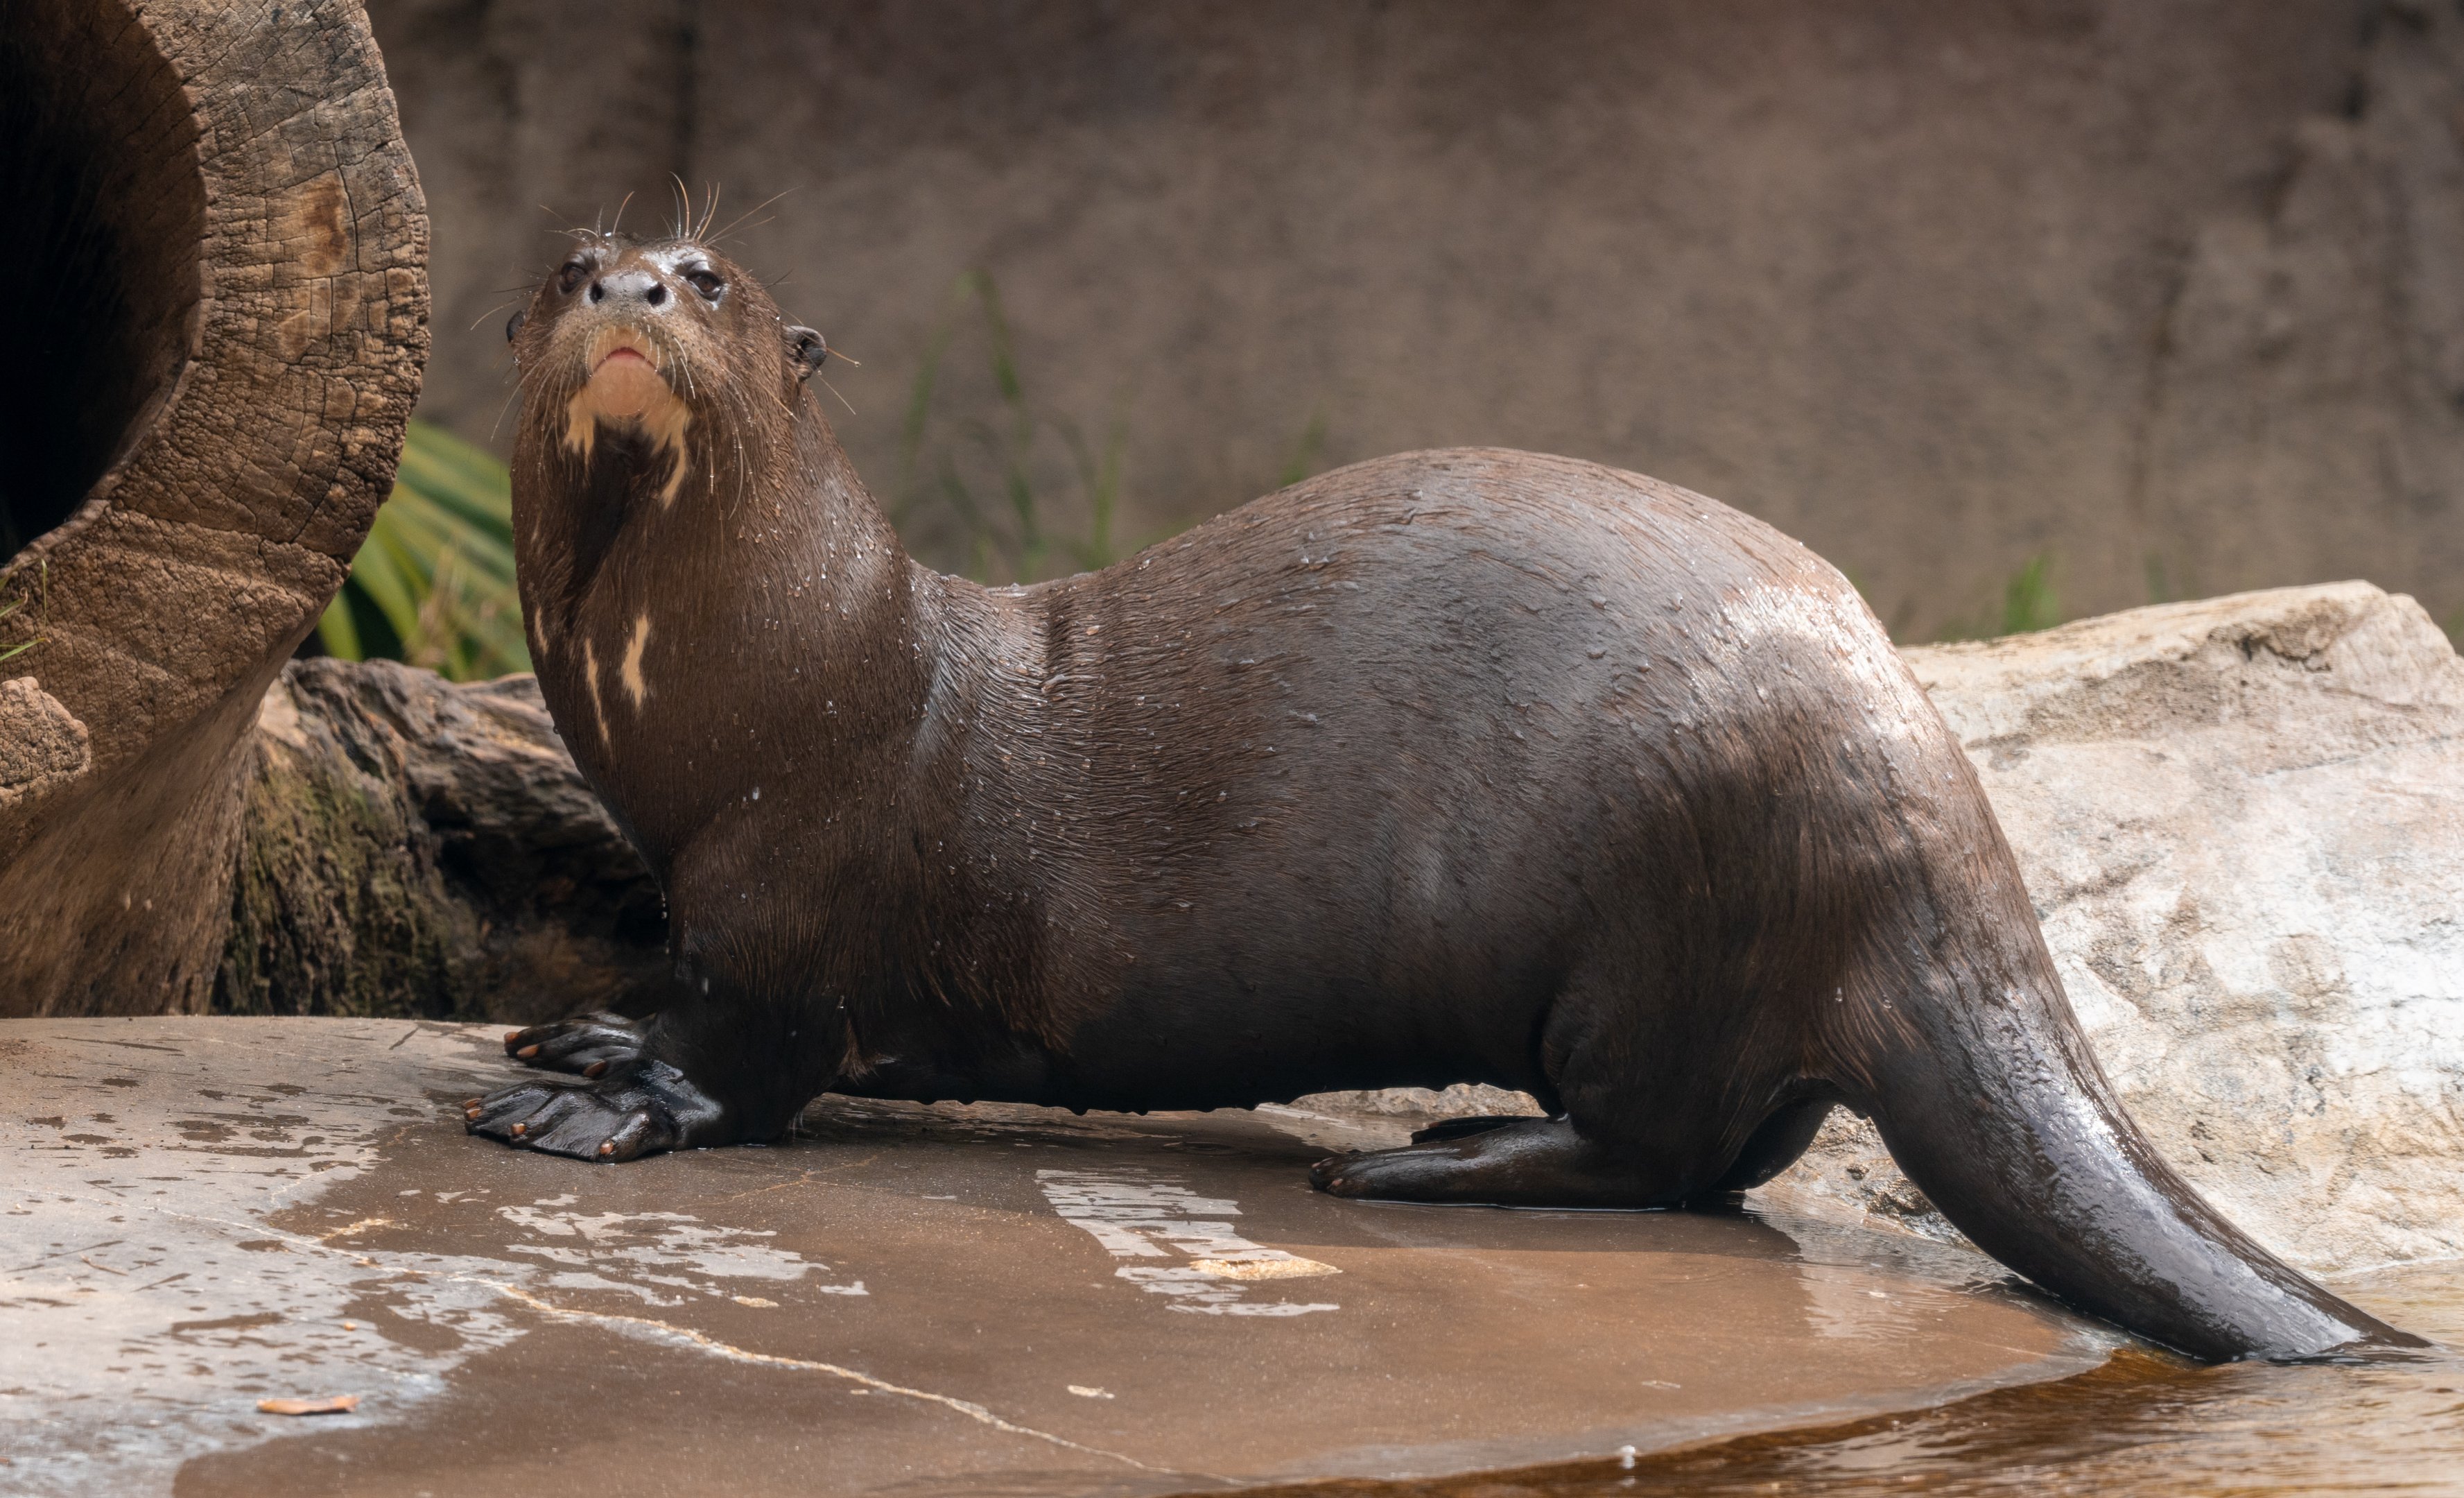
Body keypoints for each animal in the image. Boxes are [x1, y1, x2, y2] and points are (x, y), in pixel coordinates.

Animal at [466, 229, 2417, 1364]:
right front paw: (587, 1028)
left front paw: (602, 1098)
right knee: (1740, 1148)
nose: (629, 293)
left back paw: (1428, 1153)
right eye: (572, 257)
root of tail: (1919, 793)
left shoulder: (804, 879)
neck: (780, 681)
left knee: (1671, 1154)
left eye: (710, 274)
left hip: (1655, 908)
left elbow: (748, 1053)